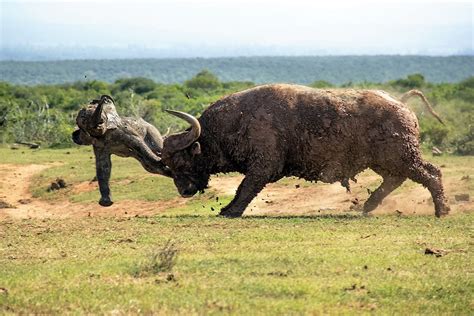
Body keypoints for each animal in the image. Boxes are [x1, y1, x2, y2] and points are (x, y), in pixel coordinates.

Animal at [161, 83, 450, 217]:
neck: (236, 122)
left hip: (403, 156)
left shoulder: (262, 167)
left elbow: (245, 188)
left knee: (431, 174)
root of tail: (400, 103)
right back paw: (368, 205)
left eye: (181, 163)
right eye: (169, 167)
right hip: (387, 160)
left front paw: (230, 211)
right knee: (397, 178)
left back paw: (442, 210)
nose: (184, 191)